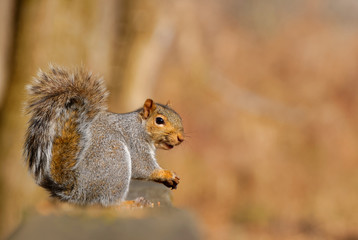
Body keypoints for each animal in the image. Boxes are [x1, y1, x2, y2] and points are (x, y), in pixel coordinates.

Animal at [24, 65, 185, 206]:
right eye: (159, 120)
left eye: (179, 116)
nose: (181, 138)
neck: (140, 127)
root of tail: (76, 193)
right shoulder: (135, 141)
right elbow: (142, 167)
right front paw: (166, 174)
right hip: (115, 159)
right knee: (108, 203)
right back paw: (131, 203)